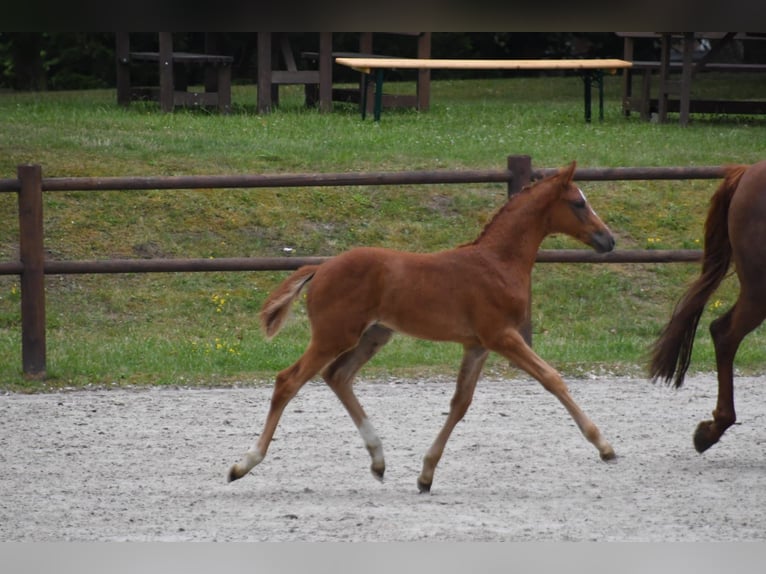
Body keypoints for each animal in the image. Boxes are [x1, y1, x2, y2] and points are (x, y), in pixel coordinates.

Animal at [228, 161, 617, 492]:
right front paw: (604, 446)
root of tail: (320, 267)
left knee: (337, 376)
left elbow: (460, 404)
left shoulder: (477, 345)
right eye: (579, 203)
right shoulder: (502, 336)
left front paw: (426, 474)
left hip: (373, 335)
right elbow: (552, 378)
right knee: (288, 381)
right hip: (333, 336)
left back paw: (378, 460)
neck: (497, 262)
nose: (608, 240)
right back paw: (243, 464)